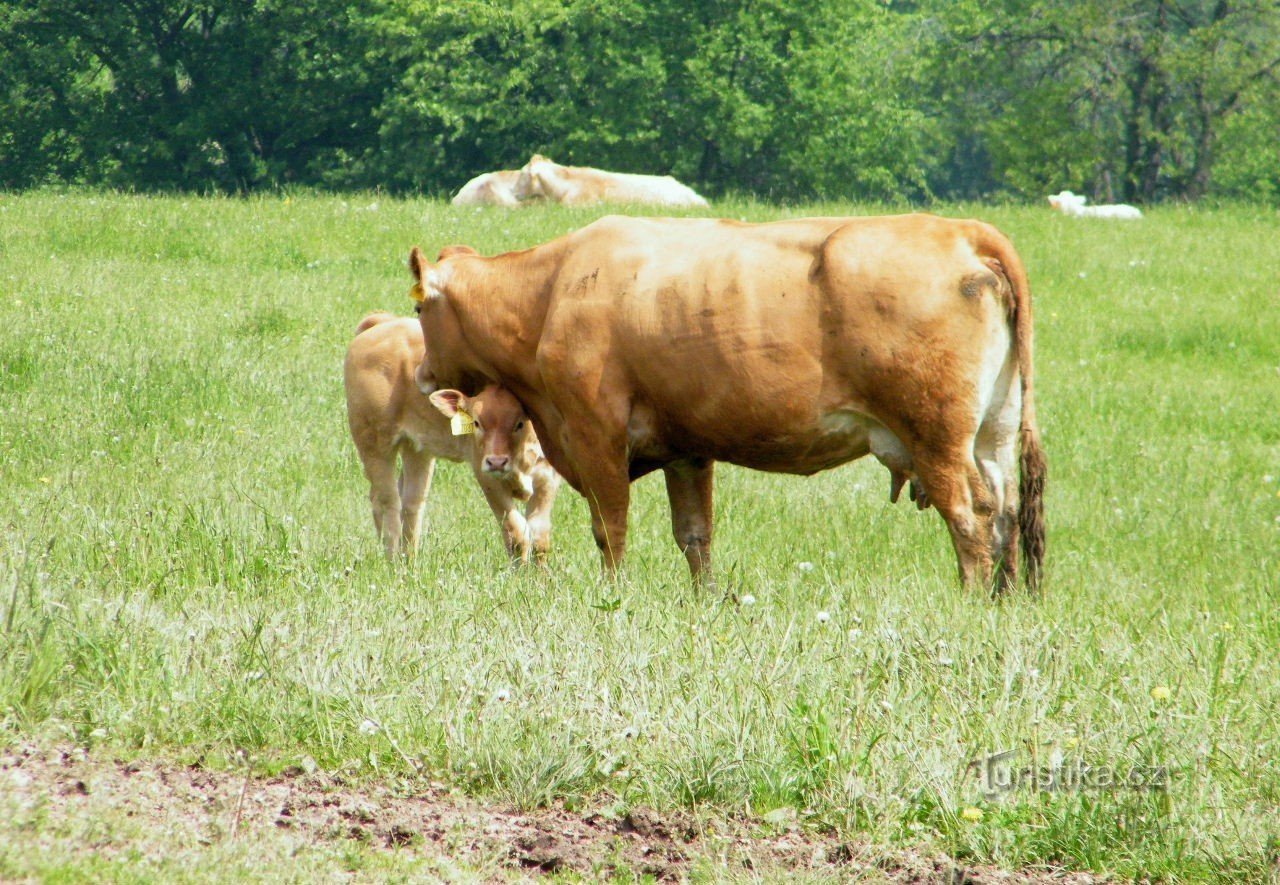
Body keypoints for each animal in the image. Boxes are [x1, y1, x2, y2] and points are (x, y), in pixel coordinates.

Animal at [340, 311, 560, 560]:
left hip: (416, 450)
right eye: (476, 422)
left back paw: (409, 560)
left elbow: (540, 538)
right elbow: (517, 534)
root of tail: (383, 324)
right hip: (375, 446)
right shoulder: (486, 477)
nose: (496, 461)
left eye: (519, 423)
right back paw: (391, 560)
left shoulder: (548, 478)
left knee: (411, 502)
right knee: (386, 501)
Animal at [407, 212, 1039, 594]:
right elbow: (695, 534)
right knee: (1007, 512)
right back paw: (1004, 601)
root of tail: (961, 231)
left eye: (417, 308)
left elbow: (610, 528)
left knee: (970, 515)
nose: (419, 373)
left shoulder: (594, 434)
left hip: (937, 437)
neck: (552, 291)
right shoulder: (687, 447)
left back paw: (971, 600)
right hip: (994, 432)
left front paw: (613, 596)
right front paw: (706, 598)